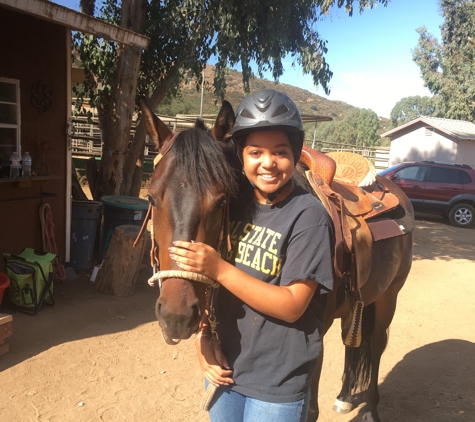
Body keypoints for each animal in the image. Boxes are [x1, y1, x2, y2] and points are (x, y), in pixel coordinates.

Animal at [141, 99, 412, 422]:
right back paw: (346, 397)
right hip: (358, 302)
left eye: (221, 201)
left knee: (376, 343)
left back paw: (370, 408)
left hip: (389, 297)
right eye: (152, 199)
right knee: (352, 339)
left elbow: (310, 409)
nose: (176, 316)